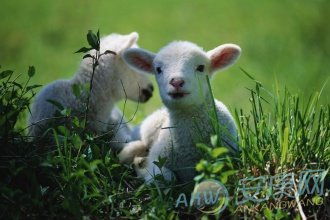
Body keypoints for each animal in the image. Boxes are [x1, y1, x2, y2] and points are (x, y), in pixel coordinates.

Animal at [120, 40, 241, 182]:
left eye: (201, 67)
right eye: (158, 69)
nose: (176, 82)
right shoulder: (157, 159)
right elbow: (166, 177)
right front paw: (142, 168)